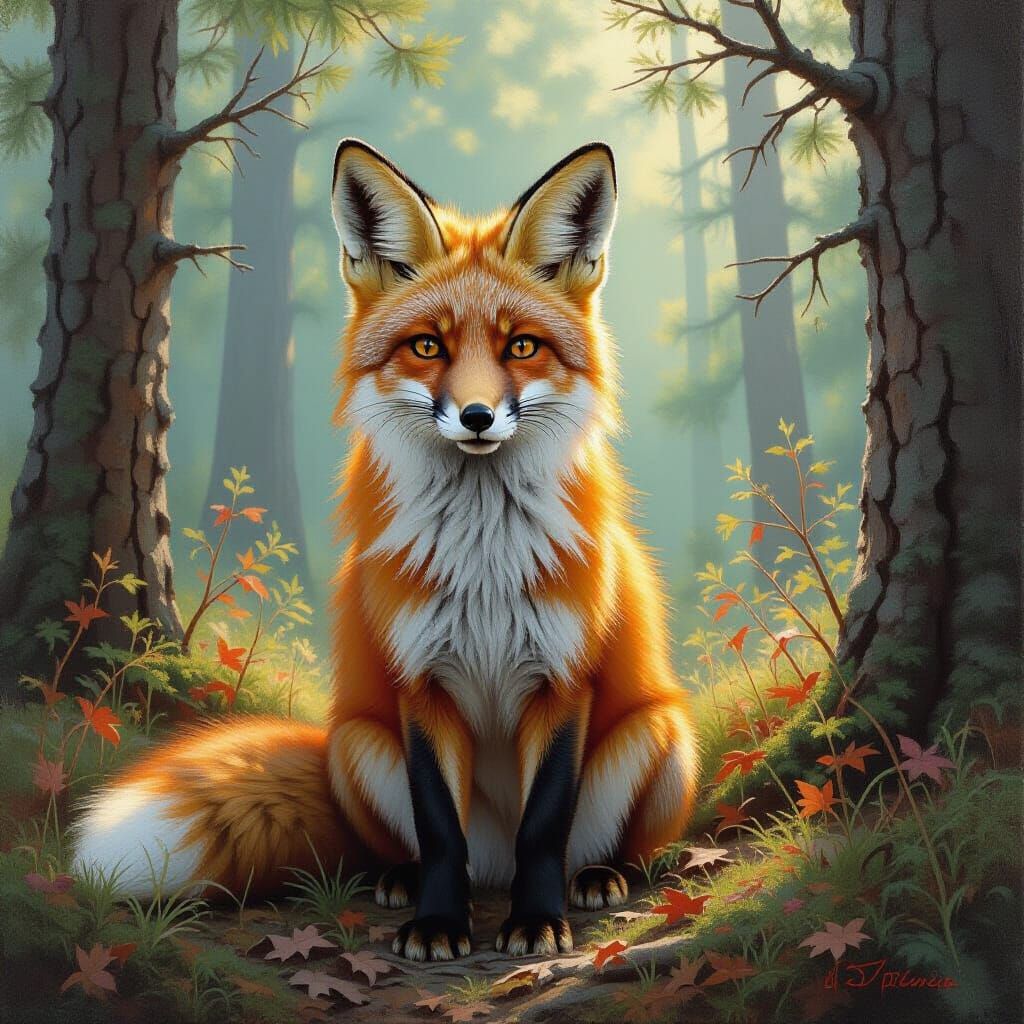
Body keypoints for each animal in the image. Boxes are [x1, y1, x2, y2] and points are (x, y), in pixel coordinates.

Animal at [71, 140, 698, 962]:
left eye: (521, 347)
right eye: (428, 345)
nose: (476, 416)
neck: (483, 565)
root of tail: (492, 869)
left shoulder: (564, 681)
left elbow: (543, 826)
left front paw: (537, 922)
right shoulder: (418, 682)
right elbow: (437, 828)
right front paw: (437, 925)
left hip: (657, 733)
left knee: (591, 844)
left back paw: (599, 876)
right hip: (356, 742)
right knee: (424, 847)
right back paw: (402, 881)